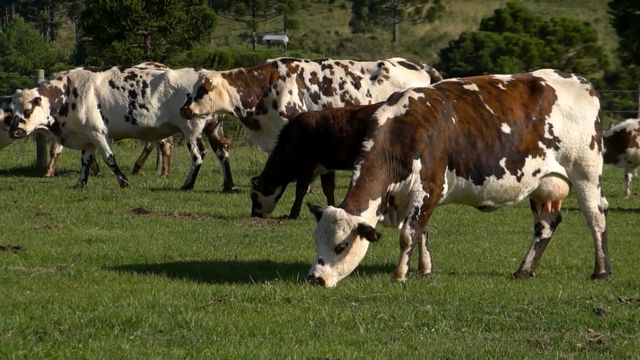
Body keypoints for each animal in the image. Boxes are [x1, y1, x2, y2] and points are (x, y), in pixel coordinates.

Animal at [6, 62, 222, 190]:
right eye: (11, 110)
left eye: (27, 110)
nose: (14, 131)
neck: (67, 93)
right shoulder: (87, 137)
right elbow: (85, 161)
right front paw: (80, 184)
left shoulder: (98, 133)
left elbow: (109, 157)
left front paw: (124, 181)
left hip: (191, 130)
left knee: (197, 155)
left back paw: (187, 184)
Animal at [249, 102, 380, 218]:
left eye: (254, 196)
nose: (254, 214)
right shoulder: (327, 167)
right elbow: (328, 189)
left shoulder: (306, 166)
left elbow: (301, 189)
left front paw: (293, 214)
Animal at [308, 68, 608, 286]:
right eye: (316, 239)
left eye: (341, 245)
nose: (315, 278)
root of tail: (581, 82)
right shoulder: (418, 197)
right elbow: (422, 232)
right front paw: (425, 269)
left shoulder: (429, 187)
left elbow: (408, 234)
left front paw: (400, 275)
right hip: (542, 183)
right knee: (546, 224)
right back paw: (524, 270)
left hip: (586, 173)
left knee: (596, 216)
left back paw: (601, 271)